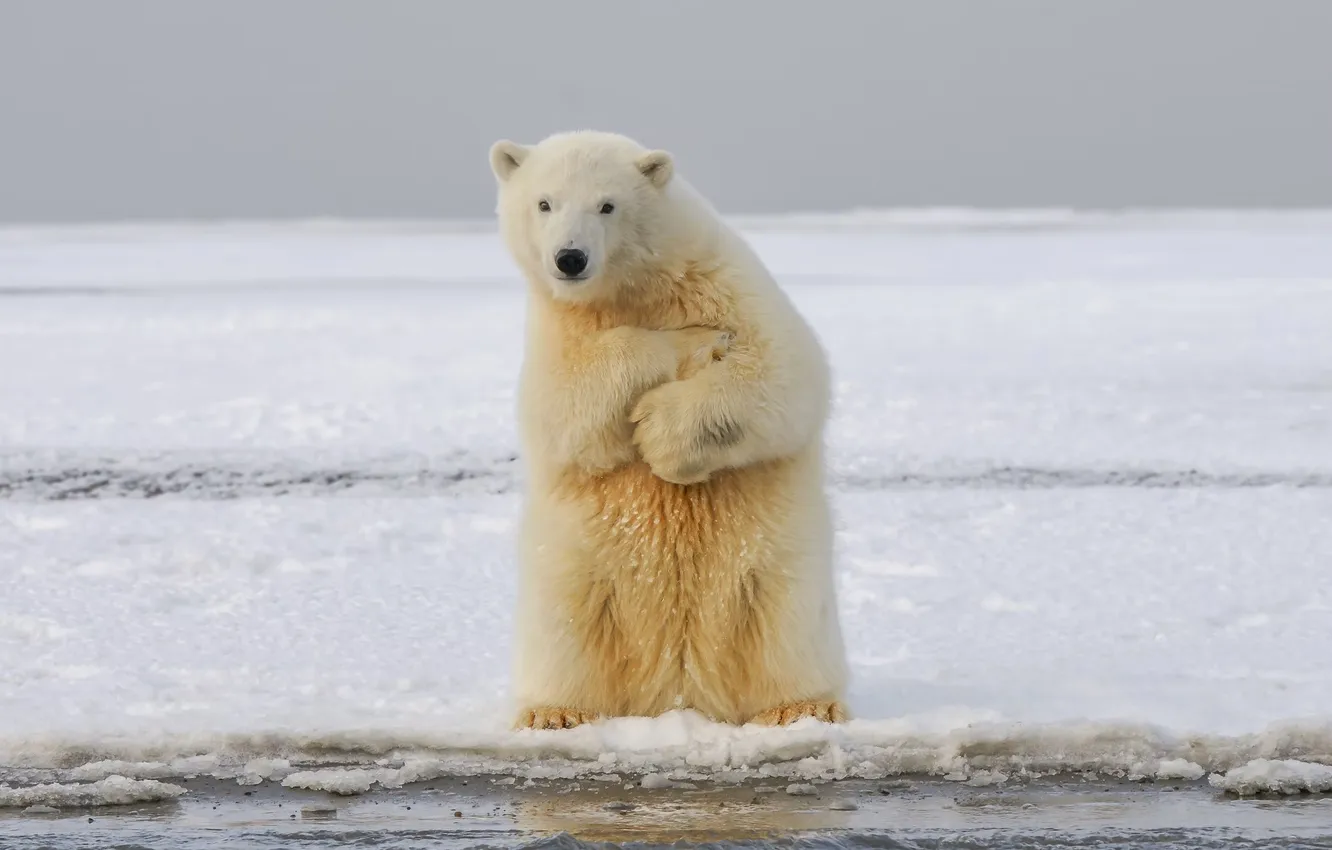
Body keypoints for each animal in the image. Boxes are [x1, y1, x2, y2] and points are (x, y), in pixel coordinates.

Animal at [489, 130, 849, 730]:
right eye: (544, 203)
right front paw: (687, 343)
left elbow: (783, 372)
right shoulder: (556, 330)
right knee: (566, 628)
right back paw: (554, 713)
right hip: (574, 570)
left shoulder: (728, 283)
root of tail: (680, 692)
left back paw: (802, 706)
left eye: (607, 205)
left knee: (784, 623)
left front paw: (662, 432)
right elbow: (563, 406)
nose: (570, 258)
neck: (637, 287)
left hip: (779, 570)